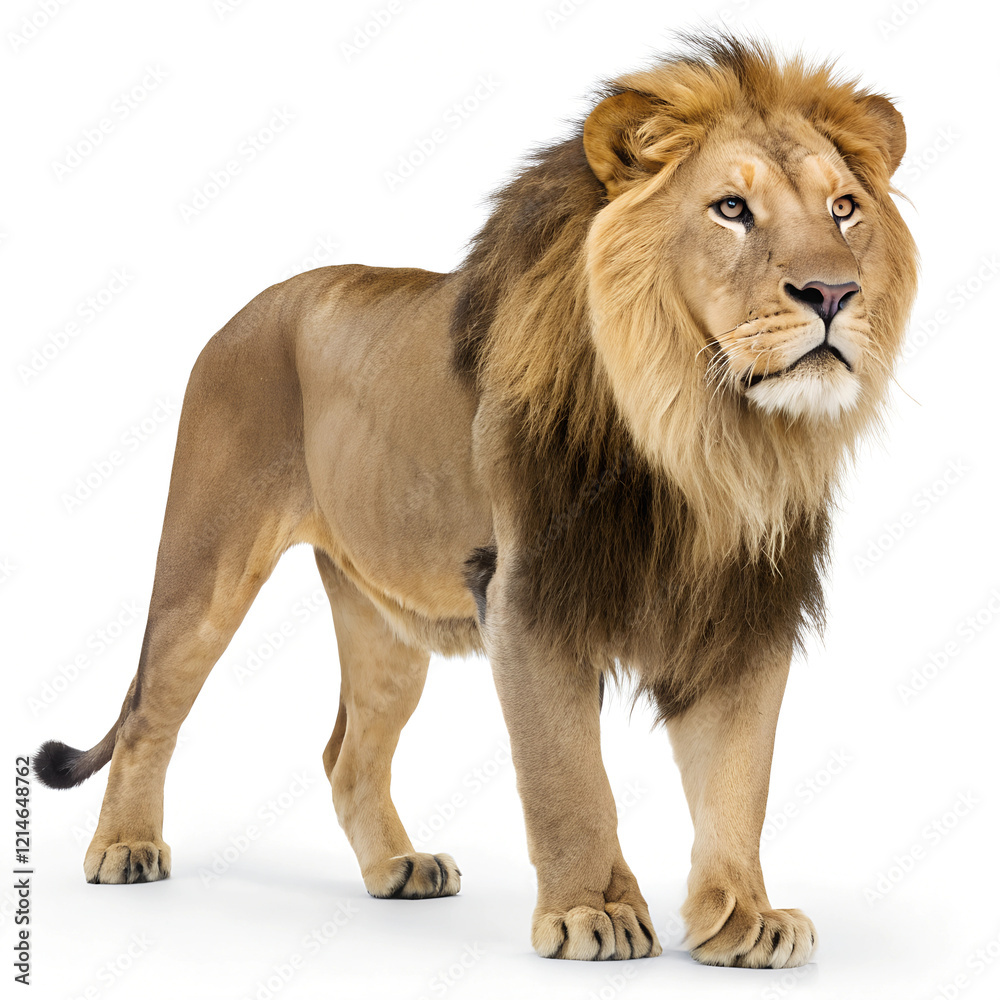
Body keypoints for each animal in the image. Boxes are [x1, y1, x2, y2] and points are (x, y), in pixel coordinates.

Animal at [34, 35, 916, 969]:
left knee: (348, 755)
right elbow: (568, 775)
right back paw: (124, 848)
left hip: (384, 623)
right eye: (732, 209)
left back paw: (398, 867)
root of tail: (242, 312)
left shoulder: (745, 607)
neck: (706, 436)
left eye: (845, 208)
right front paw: (592, 911)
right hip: (206, 560)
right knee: (149, 712)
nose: (834, 294)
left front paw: (745, 917)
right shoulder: (525, 595)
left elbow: (739, 779)